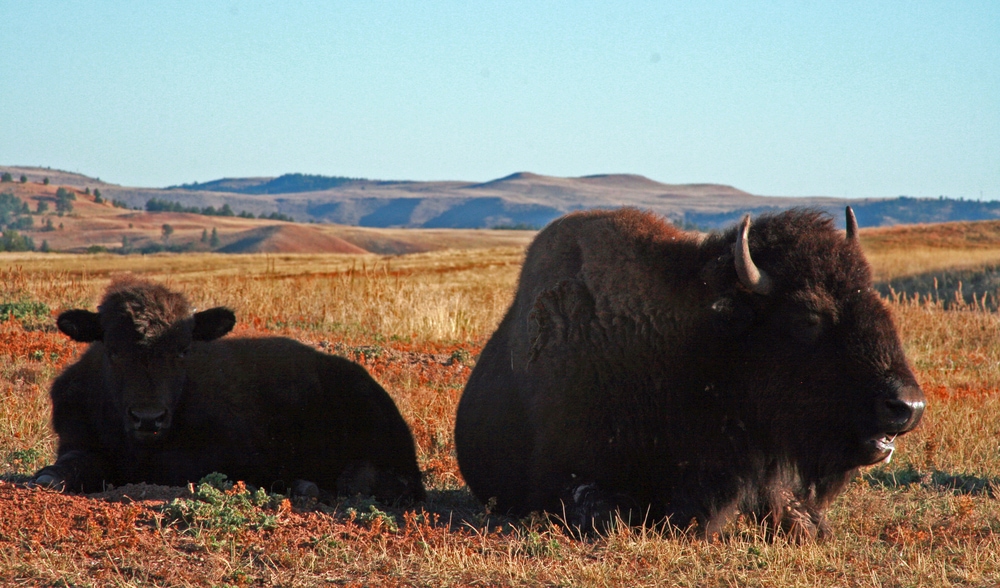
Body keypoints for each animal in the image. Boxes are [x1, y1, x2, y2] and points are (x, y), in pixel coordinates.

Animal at [32, 277, 424, 503]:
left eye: (183, 350)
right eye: (113, 349)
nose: (148, 418)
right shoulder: (78, 440)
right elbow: (69, 465)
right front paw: (49, 477)